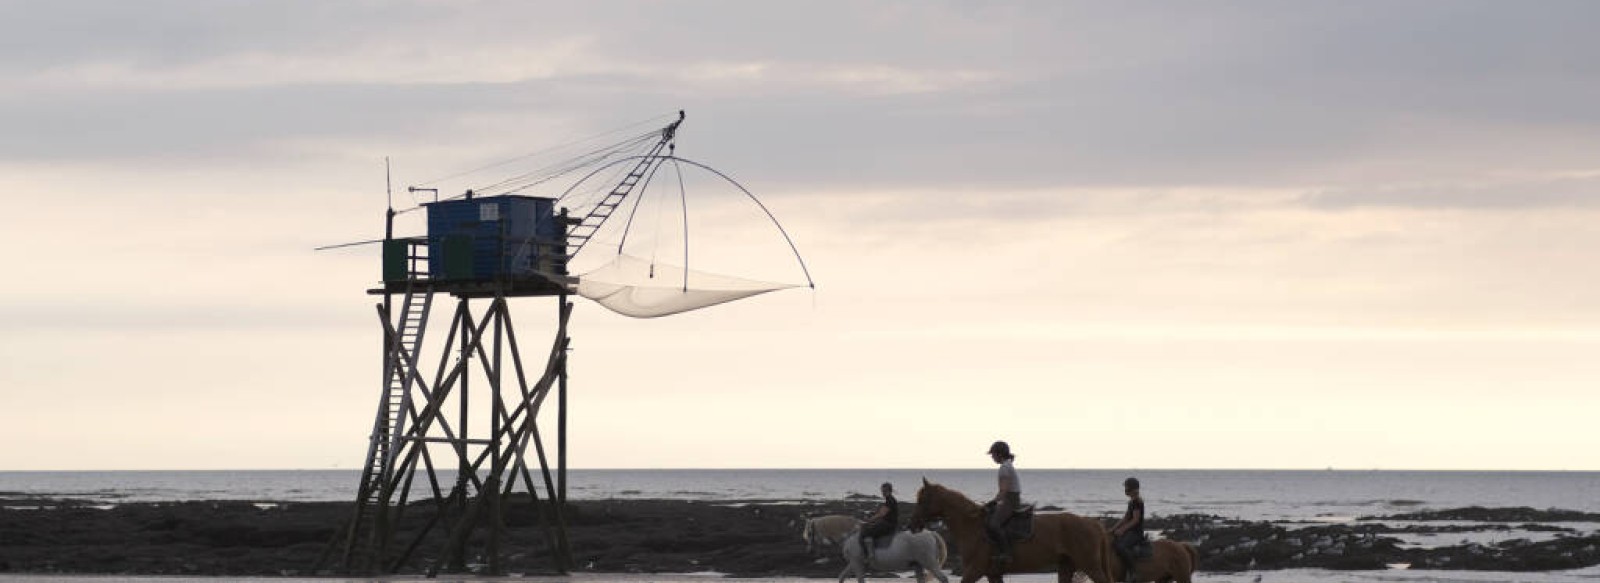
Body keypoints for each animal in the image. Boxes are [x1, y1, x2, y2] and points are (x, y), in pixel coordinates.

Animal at [908, 477, 1120, 583]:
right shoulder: (993, 574)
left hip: (1090, 565)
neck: (973, 525)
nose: (912, 524)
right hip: (1066, 566)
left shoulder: (974, 570)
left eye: (922, 499)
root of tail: (1092, 523)